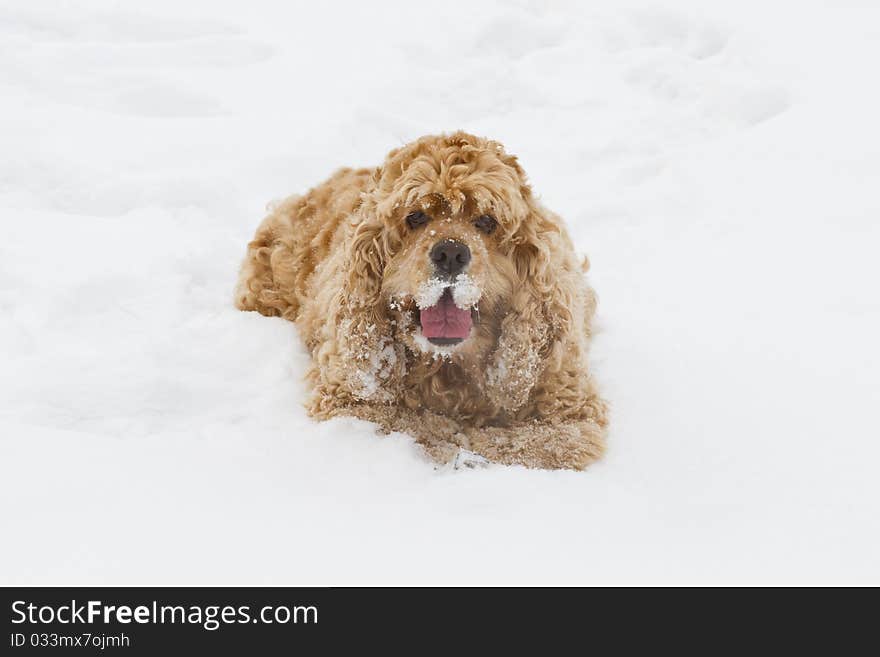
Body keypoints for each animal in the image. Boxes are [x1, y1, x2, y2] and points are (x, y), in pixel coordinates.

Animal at [234, 131, 604, 468]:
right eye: (415, 217)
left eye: (487, 221)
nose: (451, 253)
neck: (449, 365)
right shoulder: (346, 399)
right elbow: (417, 424)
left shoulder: (572, 416)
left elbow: (520, 443)